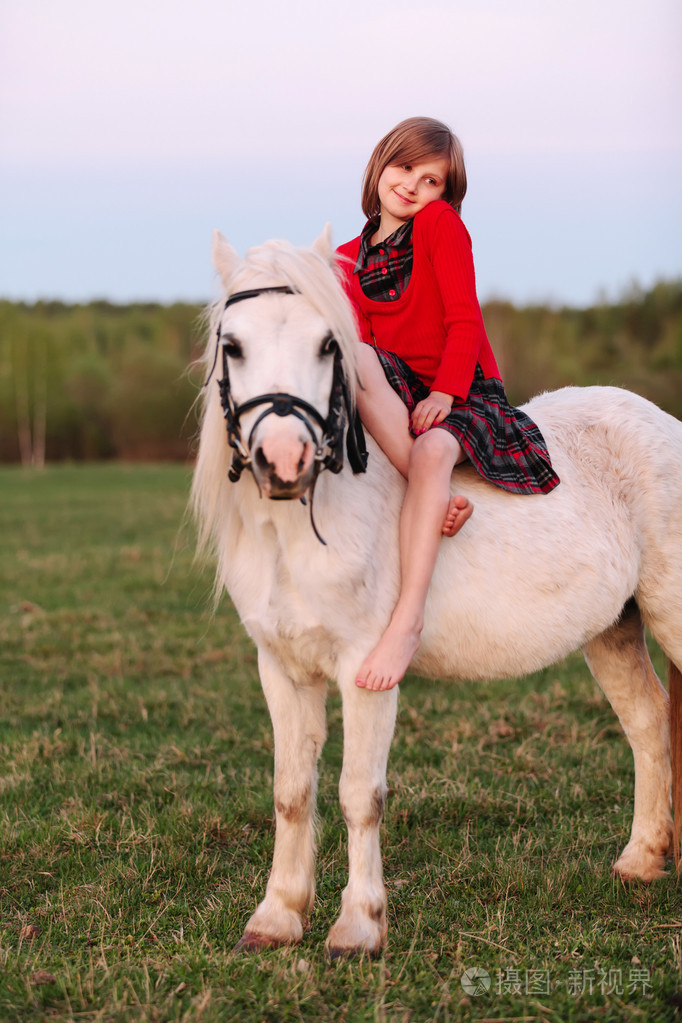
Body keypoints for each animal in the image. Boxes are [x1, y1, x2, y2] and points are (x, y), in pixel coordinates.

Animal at [191, 226, 682, 958]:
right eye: (234, 345)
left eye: (328, 345)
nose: (284, 460)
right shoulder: (282, 668)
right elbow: (291, 791)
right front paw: (277, 917)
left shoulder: (364, 672)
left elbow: (359, 793)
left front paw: (358, 926)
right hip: (613, 627)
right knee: (649, 722)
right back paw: (642, 860)